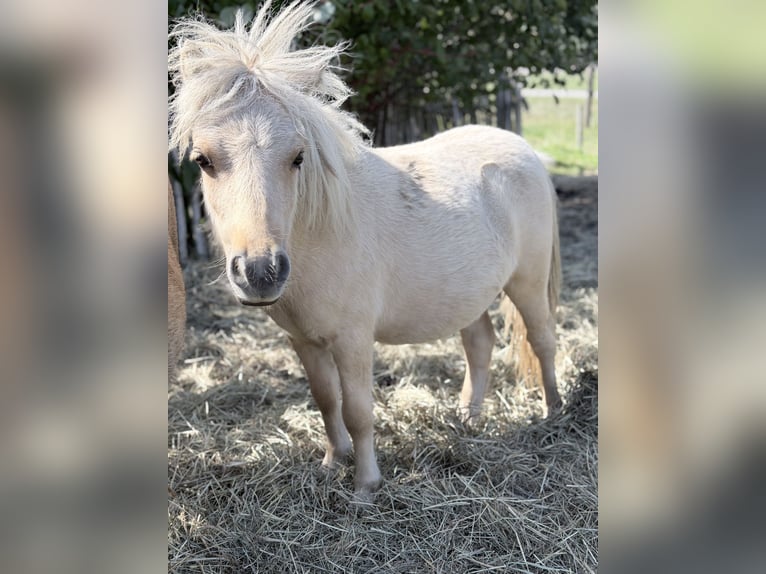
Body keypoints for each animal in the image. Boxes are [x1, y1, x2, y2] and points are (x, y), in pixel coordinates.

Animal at [169, 1, 561, 494]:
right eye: (203, 160)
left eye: (298, 157)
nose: (260, 273)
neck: (319, 235)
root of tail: (525, 150)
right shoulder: (305, 341)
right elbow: (326, 401)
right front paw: (332, 462)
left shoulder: (353, 339)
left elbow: (357, 410)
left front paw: (365, 486)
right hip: (467, 293)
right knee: (480, 342)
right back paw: (467, 419)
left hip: (527, 282)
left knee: (542, 340)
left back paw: (553, 413)